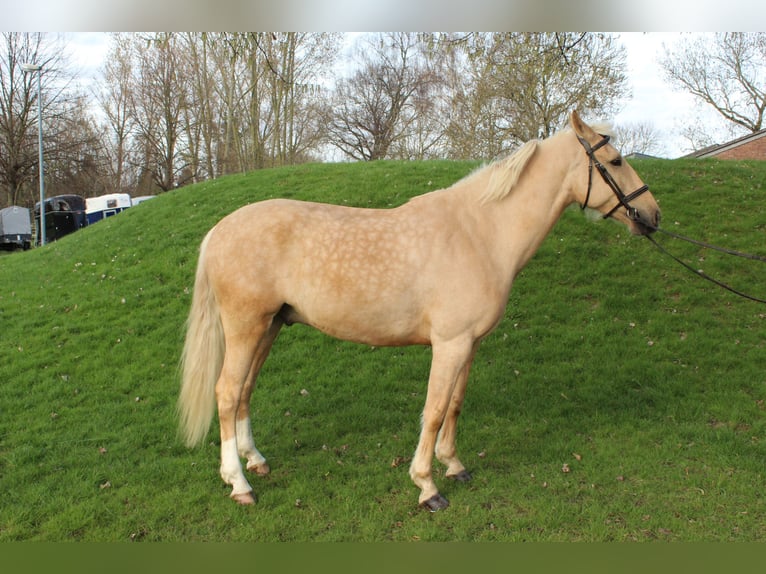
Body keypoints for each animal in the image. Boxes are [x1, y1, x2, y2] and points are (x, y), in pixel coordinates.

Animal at [178, 111, 661, 511]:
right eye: (616, 160)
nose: (652, 215)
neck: (480, 233)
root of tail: (219, 230)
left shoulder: (469, 344)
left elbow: (455, 405)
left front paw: (455, 465)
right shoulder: (449, 343)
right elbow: (433, 409)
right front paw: (427, 486)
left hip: (270, 326)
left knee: (244, 391)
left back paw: (255, 461)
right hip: (246, 327)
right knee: (227, 393)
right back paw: (239, 484)